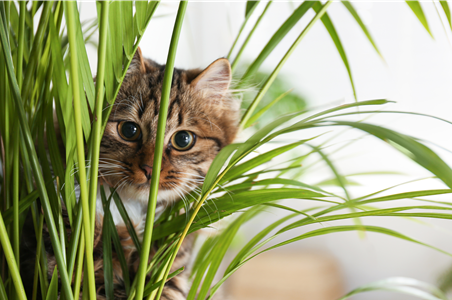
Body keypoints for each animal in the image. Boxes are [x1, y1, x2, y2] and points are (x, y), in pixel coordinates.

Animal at [21, 48, 240, 298]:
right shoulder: (58, 265)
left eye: (183, 140)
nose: (149, 169)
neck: (128, 211)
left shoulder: (169, 273)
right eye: (129, 130)